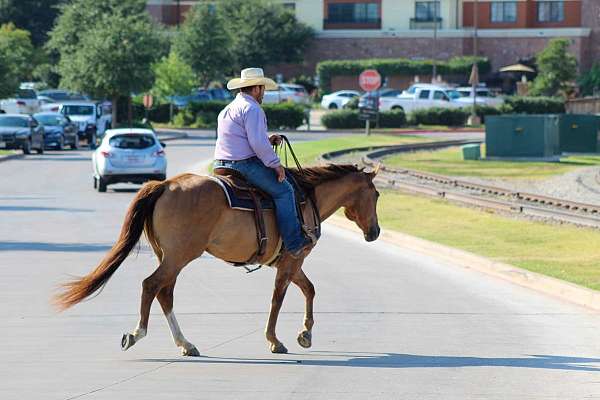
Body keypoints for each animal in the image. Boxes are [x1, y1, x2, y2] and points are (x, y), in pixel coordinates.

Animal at [57, 164, 384, 354]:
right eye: (377, 195)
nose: (375, 232)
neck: (305, 198)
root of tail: (165, 185)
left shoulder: (290, 263)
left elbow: (309, 290)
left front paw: (306, 334)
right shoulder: (292, 260)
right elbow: (278, 299)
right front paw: (274, 339)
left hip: (170, 257)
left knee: (165, 292)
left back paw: (185, 343)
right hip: (179, 256)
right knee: (152, 286)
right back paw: (138, 333)